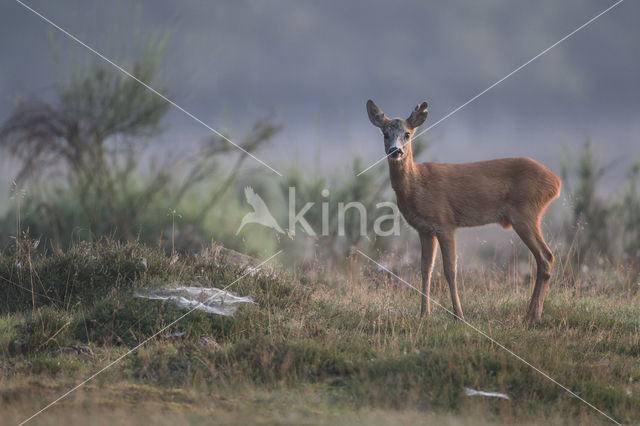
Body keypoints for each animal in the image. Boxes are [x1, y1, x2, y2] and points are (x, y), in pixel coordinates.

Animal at [364, 100, 560, 322]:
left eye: (407, 134)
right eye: (385, 134)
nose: (395, 151)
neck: (417, 184)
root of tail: (556, 182)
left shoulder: (445, 223)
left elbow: (450, 270)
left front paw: (458, 315)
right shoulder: (425, 229)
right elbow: (425, 269)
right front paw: (424, 314)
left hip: (525, 213)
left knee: (546, 257)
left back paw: (532, 316)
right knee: (544, 258)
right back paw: (531, 314)